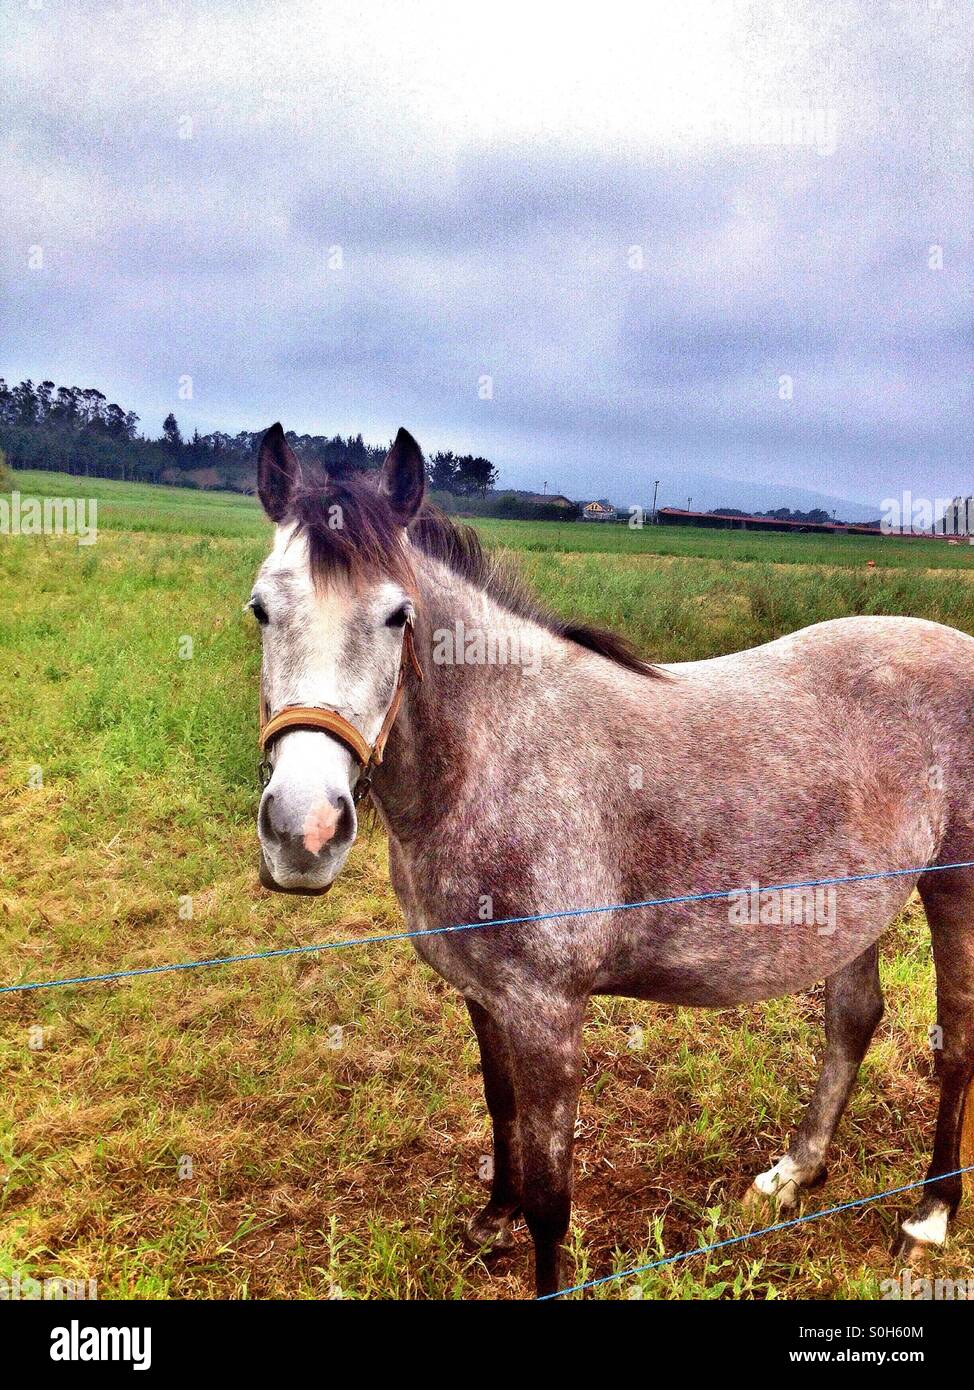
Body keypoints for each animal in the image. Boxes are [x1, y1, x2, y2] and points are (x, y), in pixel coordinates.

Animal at [250, 421, 974, 1298]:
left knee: (958, 1040)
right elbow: (500, 1109)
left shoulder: (550, 1016)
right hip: (851, 909)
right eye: (260, 609)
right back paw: (794, 1173)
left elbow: (551, 1194)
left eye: (398, 616)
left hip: (956, 890)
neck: (496, 756)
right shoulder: (486, 997)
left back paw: (930, 1215)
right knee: (852, 1021)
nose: (305, 830)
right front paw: (491, 1220)